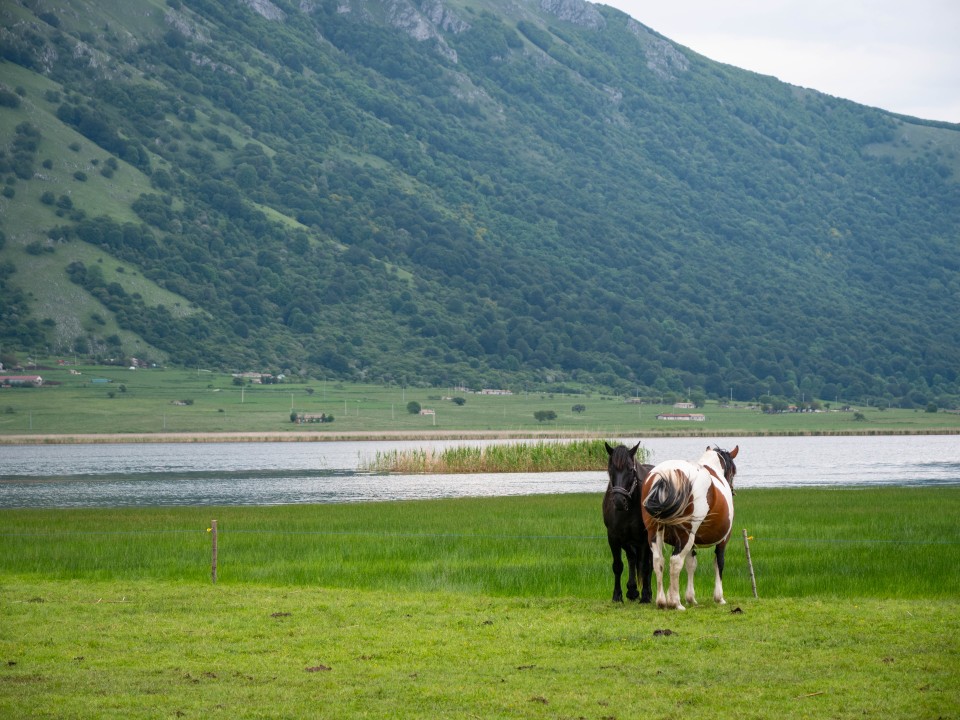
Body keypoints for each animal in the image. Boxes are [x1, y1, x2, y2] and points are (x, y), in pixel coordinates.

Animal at [604, 442, 656, 604]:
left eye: (630, 469)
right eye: (610, 469)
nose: (619, 501)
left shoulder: (644, 538)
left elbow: (645, 566)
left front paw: (645, 595)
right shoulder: (614, 537)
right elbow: (618, 565)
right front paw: (617, 595)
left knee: (651, 563)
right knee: (632, 558)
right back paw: (632, 591)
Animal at [640, 448, 740, 612]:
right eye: (733, 471)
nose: (732, 490)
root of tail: (668, 474)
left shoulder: (689, 544)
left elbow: (691, 565)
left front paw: (690, 598)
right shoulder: (723, 540)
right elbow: (719, 563)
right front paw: (719, 598)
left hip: (655, 533)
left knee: (659, 561)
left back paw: (662, 601)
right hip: (686, 535)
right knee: (675, 562)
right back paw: (676, 603)